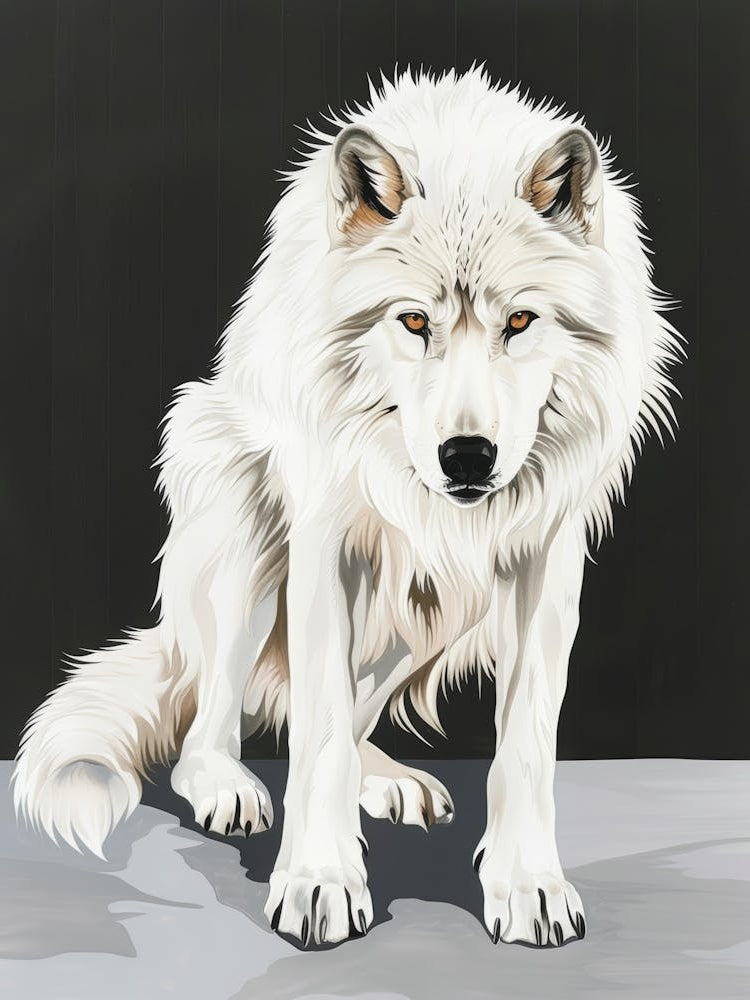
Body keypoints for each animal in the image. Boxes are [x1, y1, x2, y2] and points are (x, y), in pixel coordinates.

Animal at [13, 67, 681, 948]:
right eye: (415, 321)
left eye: (520, 321)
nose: (467, 457)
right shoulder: (325, 543)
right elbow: (320, 734)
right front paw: (319, 882)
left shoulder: (546, 554)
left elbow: (525, 742)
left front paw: (527, 885)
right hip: (245, 534)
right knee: (211, 730)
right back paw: (230, 785)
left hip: (434, 606)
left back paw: (388, 779)